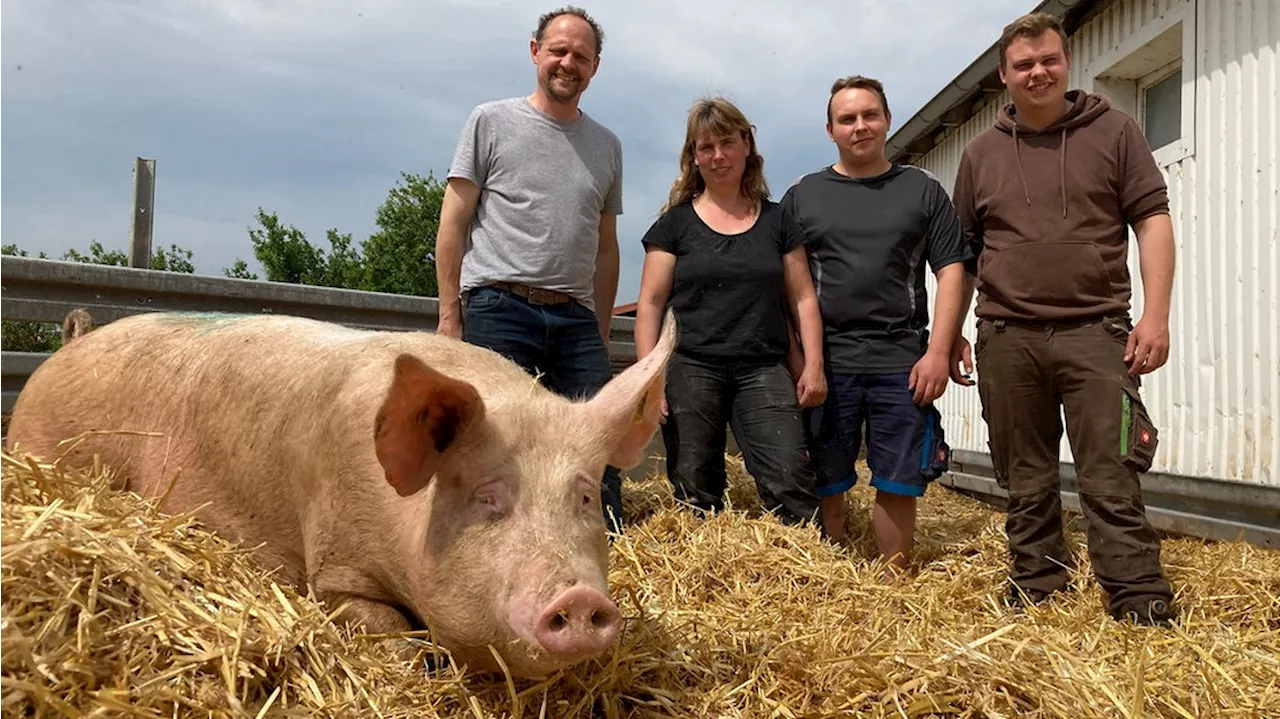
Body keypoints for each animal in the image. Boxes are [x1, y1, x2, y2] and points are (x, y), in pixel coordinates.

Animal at [7, 309, 680, 675]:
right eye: (489, 497)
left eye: (585, 497)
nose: (581, 599)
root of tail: (70, 344)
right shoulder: (334, 569)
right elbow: (389, 634)